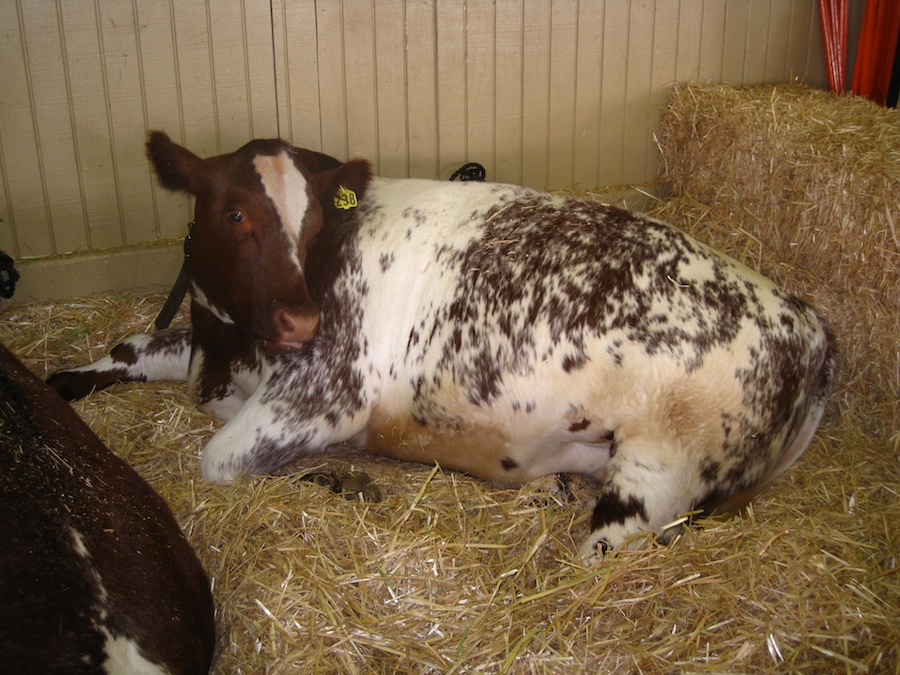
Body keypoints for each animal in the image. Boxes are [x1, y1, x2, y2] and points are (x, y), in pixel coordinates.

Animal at [49, 132, 836, 556]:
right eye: (234, 212)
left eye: (315, 224)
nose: (301, 319)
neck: (230, 351)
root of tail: (809, 322)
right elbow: (135, 345)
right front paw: (61, 380)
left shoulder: (326, 391)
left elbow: (220, 460)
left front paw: (337, 476)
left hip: (658, 467)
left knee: (604, 555)